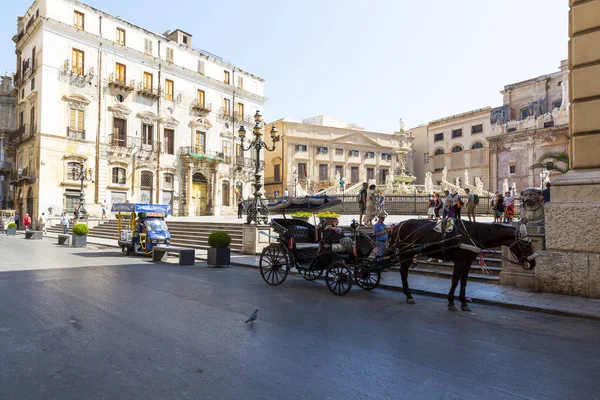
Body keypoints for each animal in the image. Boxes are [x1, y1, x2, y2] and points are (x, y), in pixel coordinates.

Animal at [390, 220, 540, 310]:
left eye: (531, 244)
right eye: (525, 244)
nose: (533, 263)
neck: (475, 234)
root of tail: (398, 224)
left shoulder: (468, 261)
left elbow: (464, 282)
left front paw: (463, 302)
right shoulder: (459, 261)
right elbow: (455, 280)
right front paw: (451, 302)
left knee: (403, 271)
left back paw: (408, 294)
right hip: (406, 253)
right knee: (403, 272)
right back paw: (408, 295)